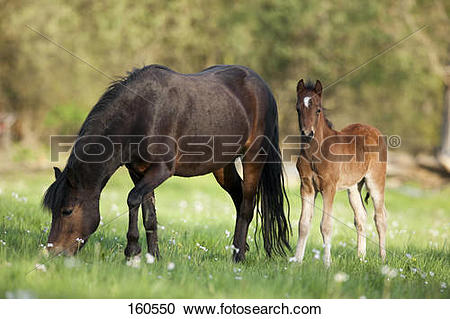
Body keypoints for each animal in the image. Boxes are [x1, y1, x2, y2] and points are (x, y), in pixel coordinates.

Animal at [41, 64, 288, 262]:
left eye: (67, 211)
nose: (52, 253)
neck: (142, 113)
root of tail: (262, 85)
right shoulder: (138, 172)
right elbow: (149, 215)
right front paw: (153, 257)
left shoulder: (160, 171)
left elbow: (132, 199)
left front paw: (132, 251)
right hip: (222, 166)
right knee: (239, 199)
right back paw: (240, 248)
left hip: (254, 157)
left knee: (246, 205)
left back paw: (238, 258)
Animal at [294, 80, 388, 268]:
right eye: (298, 109)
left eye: (318, 110)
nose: (307, 133)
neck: (315, 152)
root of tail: (375, 131)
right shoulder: (306, 187)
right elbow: (303, 224)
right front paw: (296, 262)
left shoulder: (328, 188)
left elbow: (326, 225)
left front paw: (327, 263)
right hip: (353, 187)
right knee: (361, 217)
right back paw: (361, 258)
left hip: (375, 182)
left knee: (380, 217)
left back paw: (382, 259)